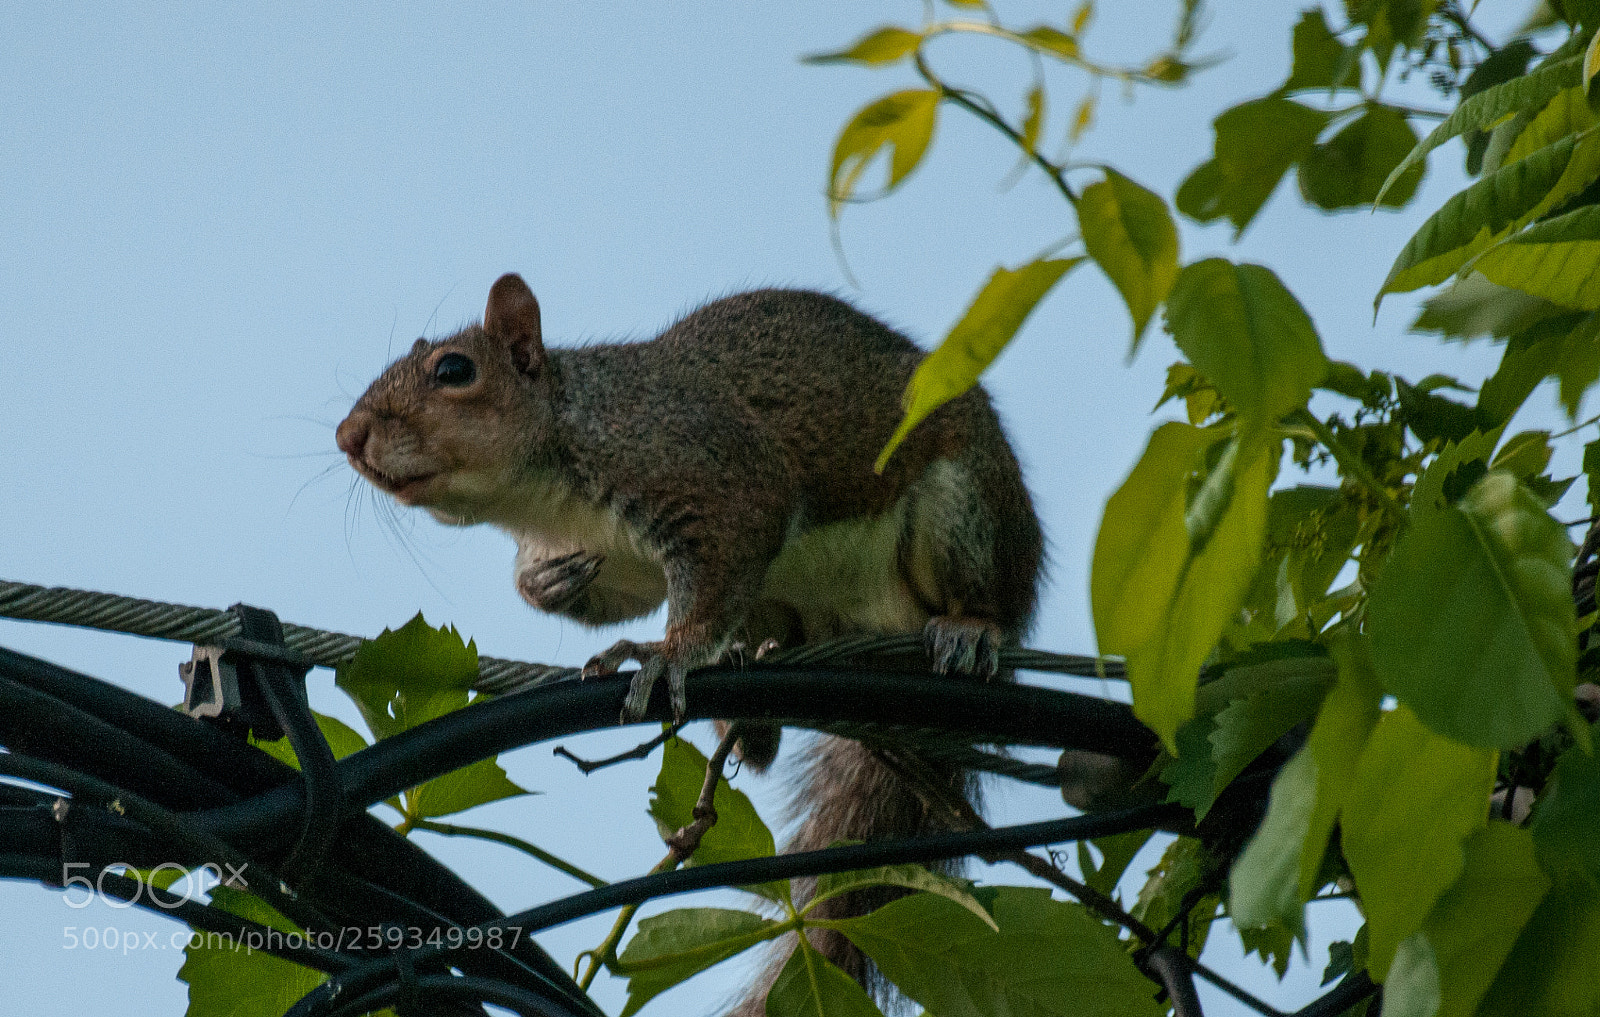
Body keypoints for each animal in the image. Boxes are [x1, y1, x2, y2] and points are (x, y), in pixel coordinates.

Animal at [336, 273, 1043, 1012]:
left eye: (454, 370)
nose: (347, 437)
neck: (548, 486)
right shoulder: (622, 561)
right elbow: (607, 593)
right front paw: (545, 582)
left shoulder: (713, 479)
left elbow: (724, 560)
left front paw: (666, 652)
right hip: (779, 607)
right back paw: (746, 711)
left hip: (966, 506)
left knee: (987, 590)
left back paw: (969, 627)